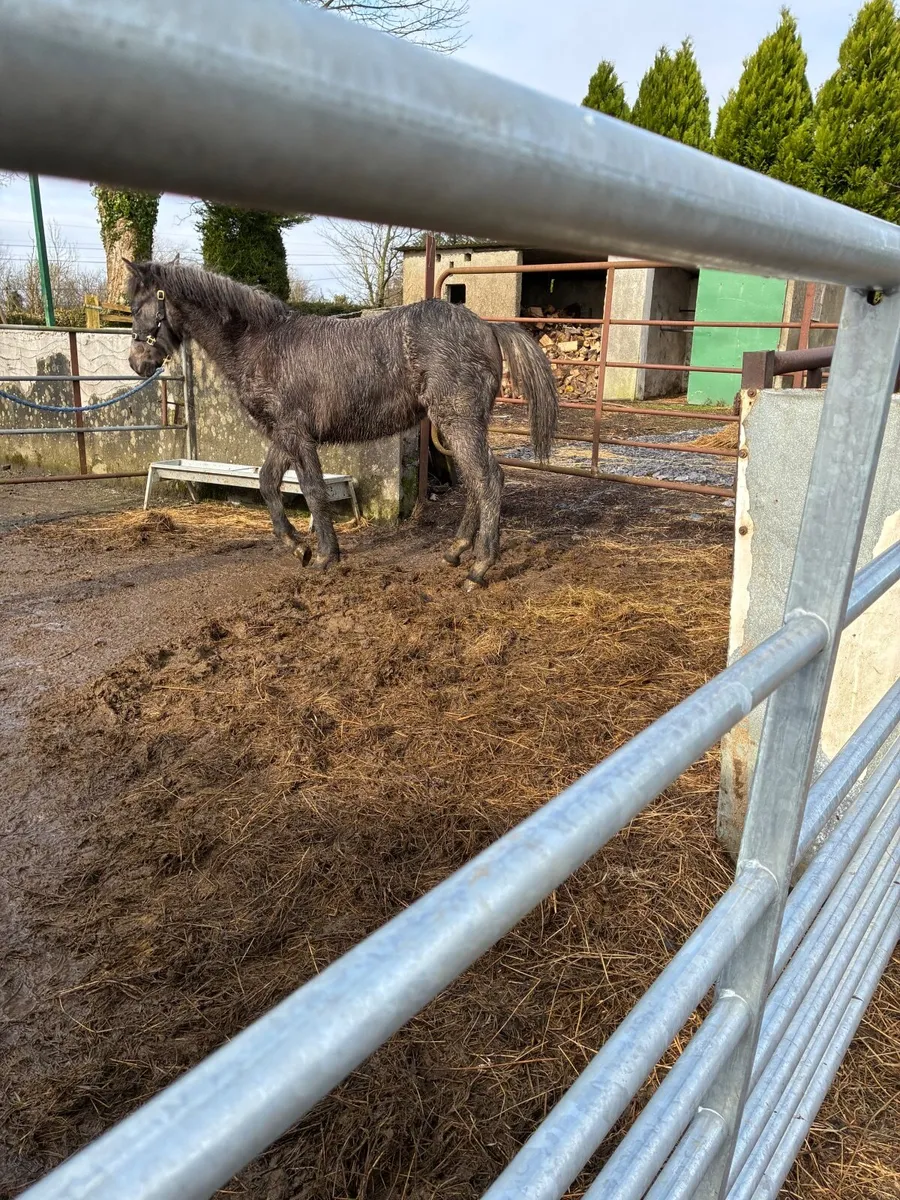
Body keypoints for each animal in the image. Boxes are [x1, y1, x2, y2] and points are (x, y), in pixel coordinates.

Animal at [126, 261, 559, 589]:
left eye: (135, 305)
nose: (137, 363)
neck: (262, 344)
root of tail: (487, 326)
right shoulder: (285, 434)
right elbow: (268, 482)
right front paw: (297, 546)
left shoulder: (297, 435)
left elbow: (313, 491)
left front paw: (325, 555)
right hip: (460, 425)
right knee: (474, 480)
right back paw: (456, 551)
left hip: (459, 421)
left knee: (488, 479)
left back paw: (480, 567)